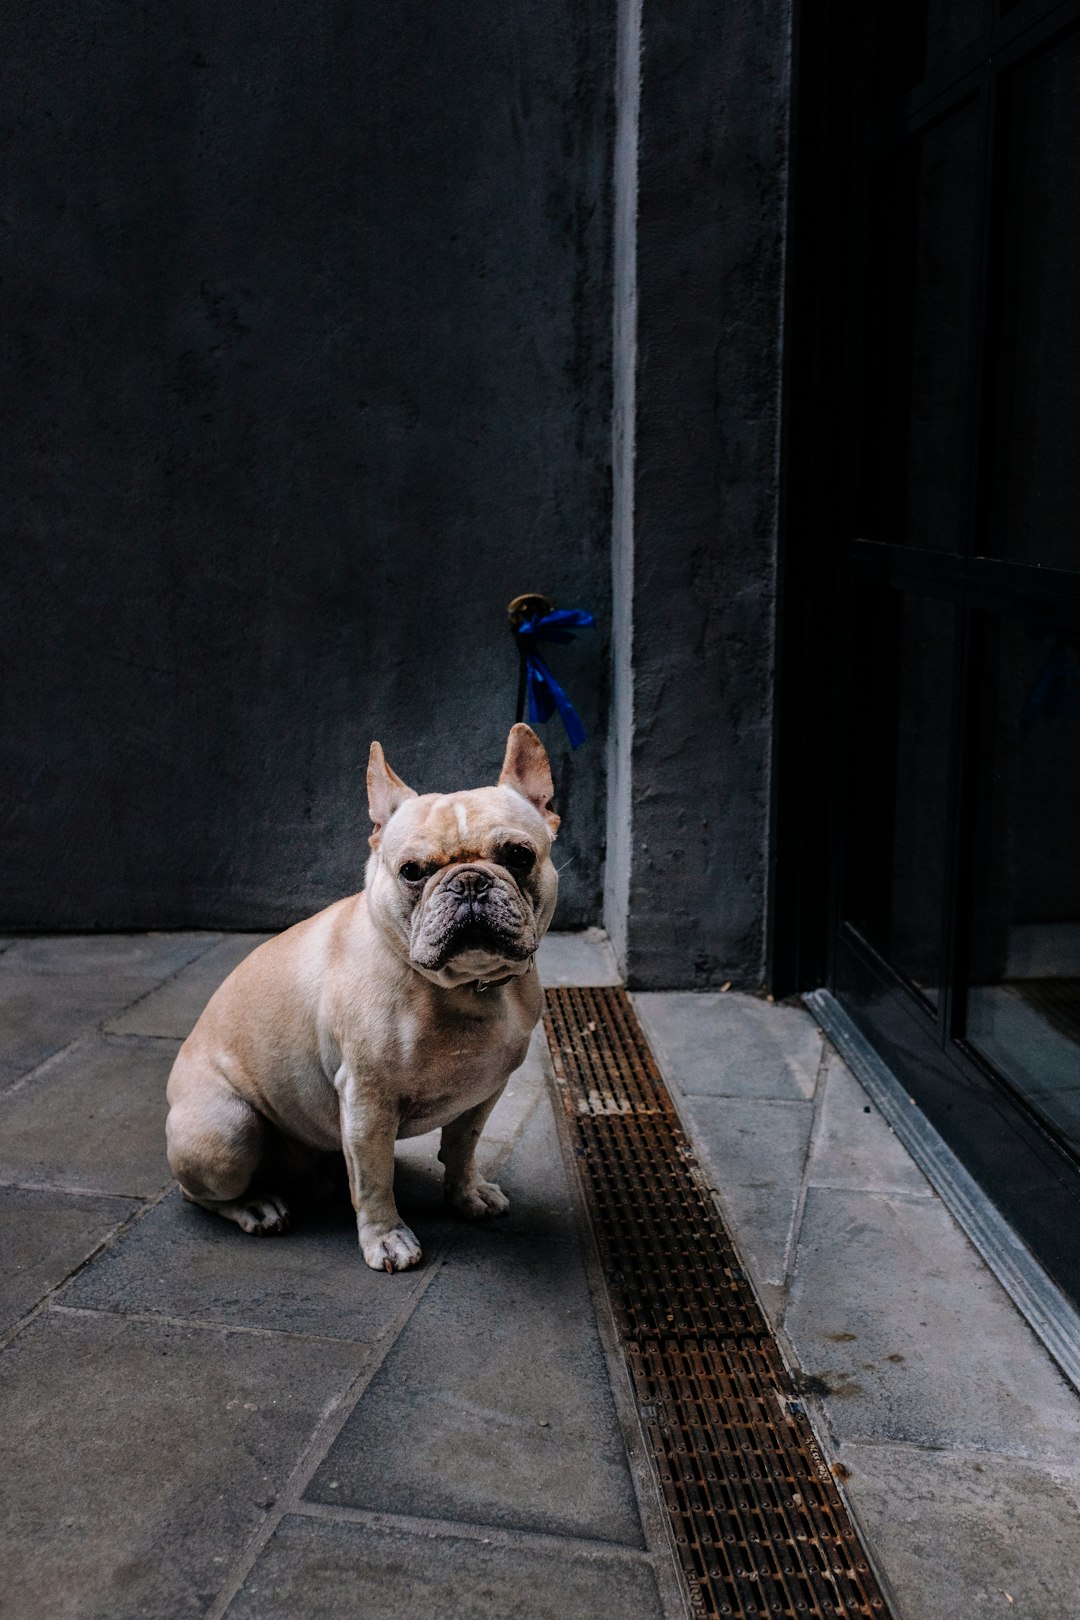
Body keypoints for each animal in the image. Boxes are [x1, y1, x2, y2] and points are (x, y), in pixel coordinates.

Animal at [166, 729, 566, 1270]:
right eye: (412, 871)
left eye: (520, 856)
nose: (469, 881)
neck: (462, 989)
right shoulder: (368, 1101)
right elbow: (375, 1183)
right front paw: (387, 1238)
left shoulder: (484, 1092)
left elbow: (463, 1148)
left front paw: (467, 1195)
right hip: (228, 1131)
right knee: (200, 1192)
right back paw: (255, 1205)